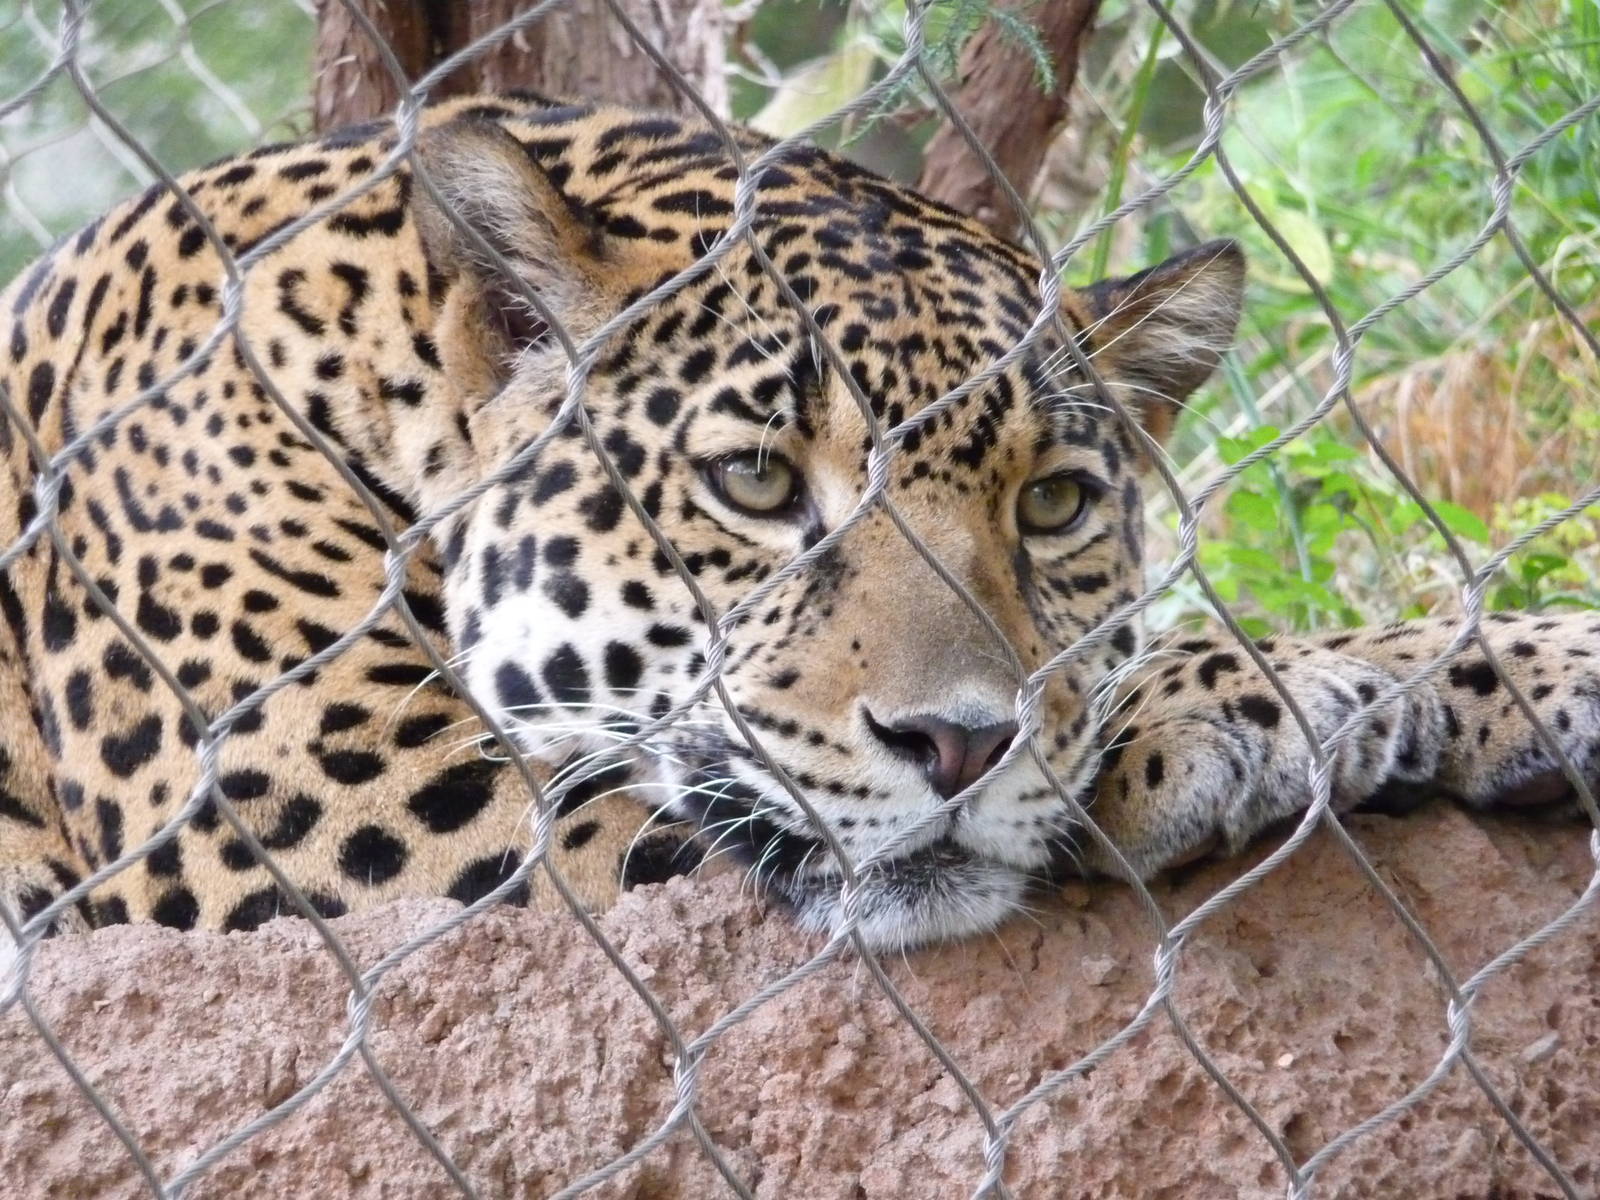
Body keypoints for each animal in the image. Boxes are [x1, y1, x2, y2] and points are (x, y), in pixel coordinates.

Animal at [1, 93, 1596, 968]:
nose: (959, 746)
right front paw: (1265, 697)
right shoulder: (341, 800)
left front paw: (1522, 666)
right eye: (759, 484)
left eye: (1053, 503)